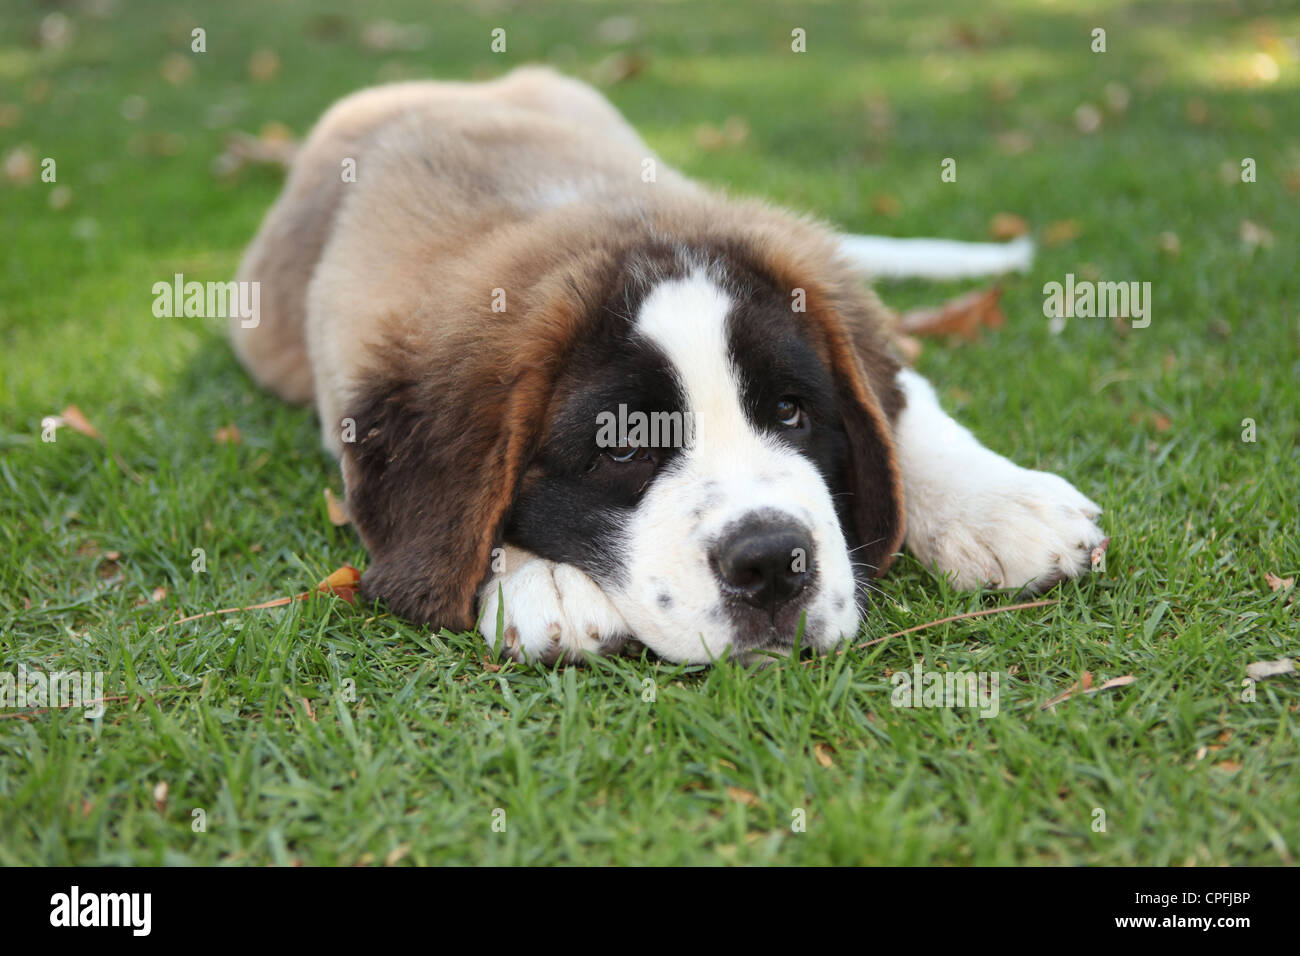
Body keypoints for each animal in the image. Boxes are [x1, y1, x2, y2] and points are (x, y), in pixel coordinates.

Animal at [228, 67, 1102, 665]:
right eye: (619, 448)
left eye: (791, 412)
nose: (771, 562)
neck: (591, 216)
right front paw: (539, 578)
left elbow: (903, 407)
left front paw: (999, 505)